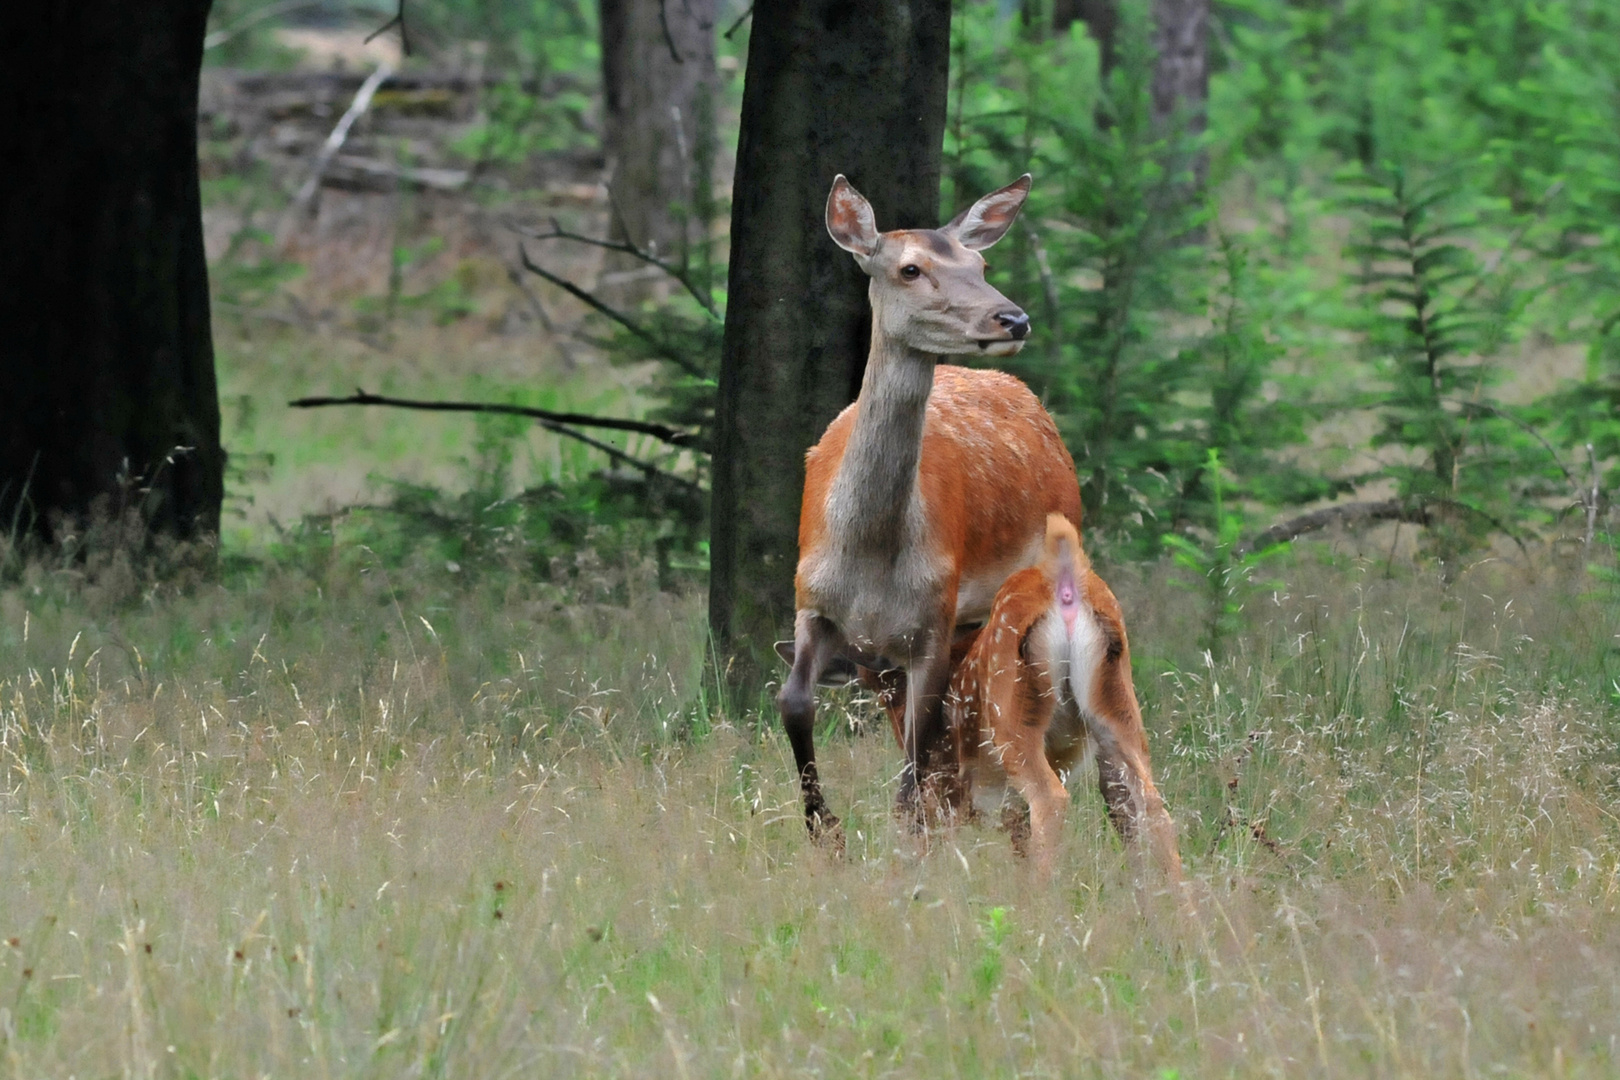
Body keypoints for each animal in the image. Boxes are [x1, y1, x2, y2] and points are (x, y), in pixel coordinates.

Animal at [777, 173, 1082, 841]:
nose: (1013, 318)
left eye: (981, 263)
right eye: (910, 268)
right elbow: (794, 702)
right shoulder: (811, 598)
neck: (870, 560)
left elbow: (917, 753)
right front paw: (824, 829)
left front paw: (908, 836)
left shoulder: (933, 617)